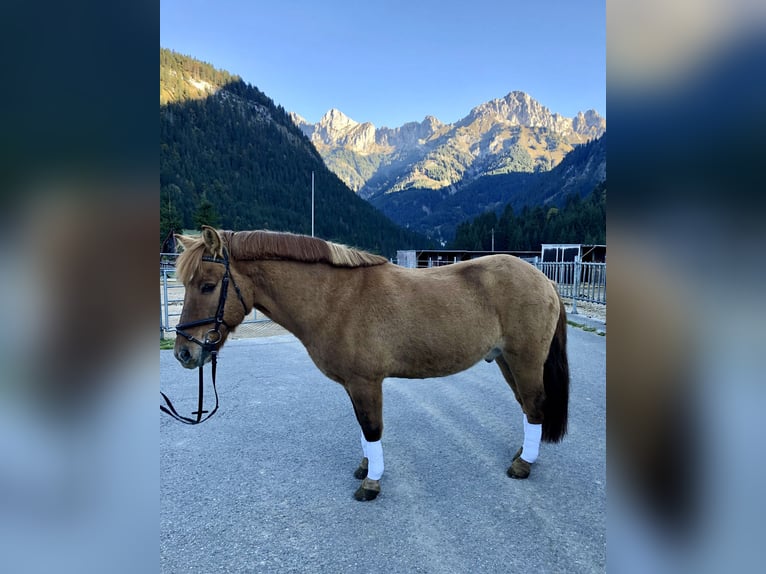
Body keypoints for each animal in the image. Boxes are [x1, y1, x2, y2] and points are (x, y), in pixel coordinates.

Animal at [172, 226, 569, 501]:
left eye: (207, 285)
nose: (183, 353)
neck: (335, 298)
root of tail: (544, 279)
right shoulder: (354, 384)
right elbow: (363, 430)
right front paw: (365, 467)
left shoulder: (366, 382)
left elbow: (372, 428)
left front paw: (371, 483)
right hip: (506, 361)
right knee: (527, 406)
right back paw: (524, 454)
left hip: (524, 359)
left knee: (535, 405)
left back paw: (522, 464)